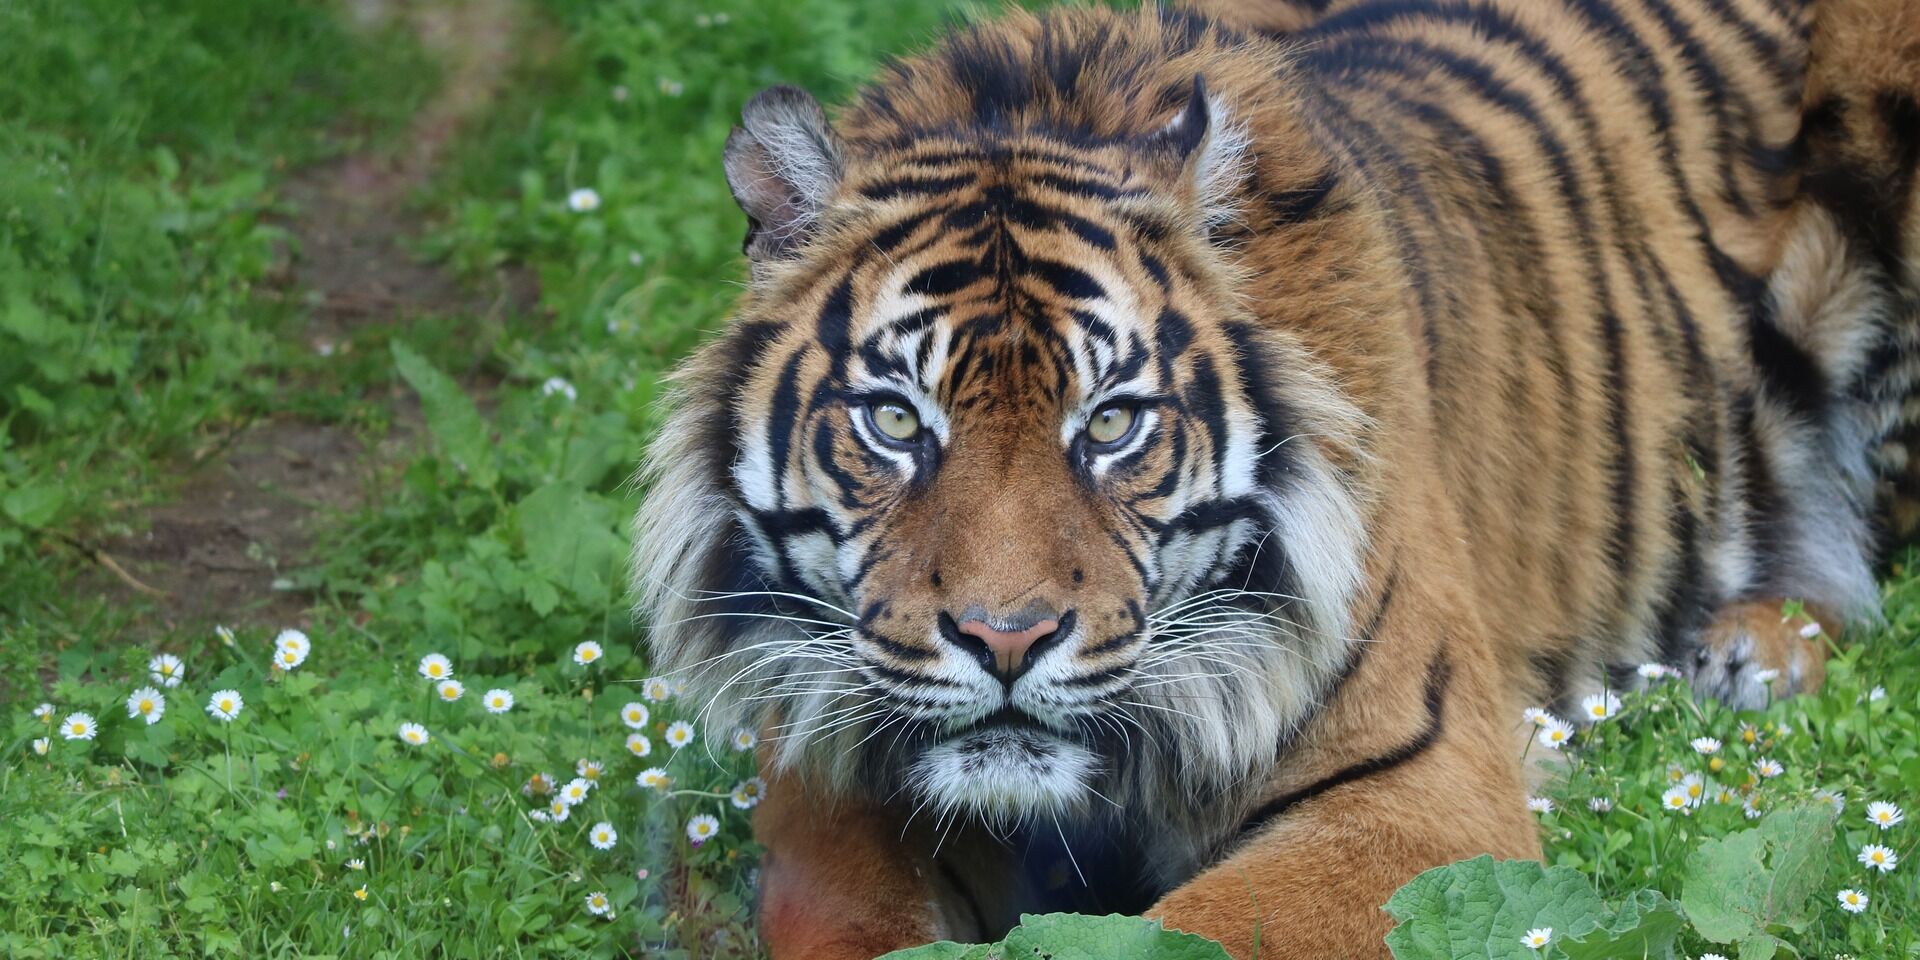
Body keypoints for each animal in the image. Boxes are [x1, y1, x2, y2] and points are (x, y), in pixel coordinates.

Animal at [629, 0, 1920, 956]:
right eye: (897, 421)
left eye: (1111, 424)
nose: (1005, 640)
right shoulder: (828, 788)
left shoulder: (1414, 796)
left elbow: (1185, 934)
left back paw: (1753, 650)